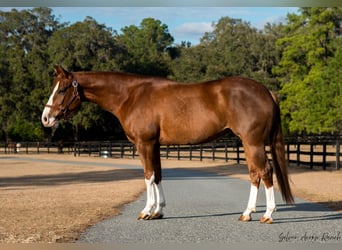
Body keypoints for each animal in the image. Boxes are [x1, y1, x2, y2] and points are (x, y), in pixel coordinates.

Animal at [41, 65, 294, 224]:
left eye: (61, 89)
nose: (45, 118)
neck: (130, 95)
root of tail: (266, 91)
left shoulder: (144, 144)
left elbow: (148, 175)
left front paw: (146, 211)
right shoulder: (154, 145)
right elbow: (159, 175)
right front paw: (158, 211)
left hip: (253, 143)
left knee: (265, 171)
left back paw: (268, 215)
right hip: (249, 144)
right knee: (254, 174)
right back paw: (247, 213)